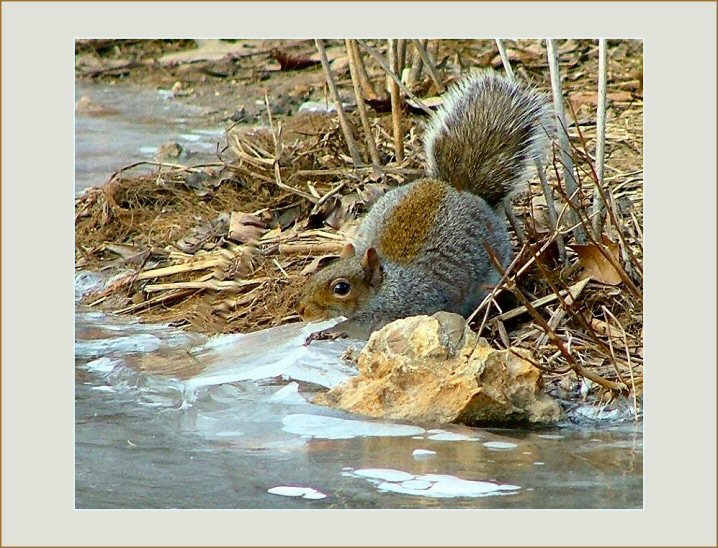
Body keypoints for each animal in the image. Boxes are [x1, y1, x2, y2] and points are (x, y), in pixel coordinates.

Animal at [296, 70, 556, 340]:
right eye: (322, 271)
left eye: (341, 288)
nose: (301, 310)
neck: (389, 288)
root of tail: (458, 189)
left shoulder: (417, 304)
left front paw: (334, 330)